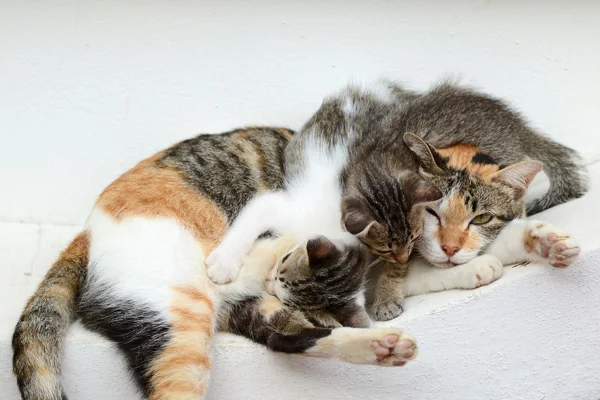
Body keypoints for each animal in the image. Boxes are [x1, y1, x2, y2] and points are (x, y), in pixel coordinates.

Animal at [12, 127, 418, 400]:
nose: (273, 284)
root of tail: (87, 233)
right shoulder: (282, 208)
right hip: (182, 315)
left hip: (211, 314)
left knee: (287, 338)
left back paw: (384, 348)